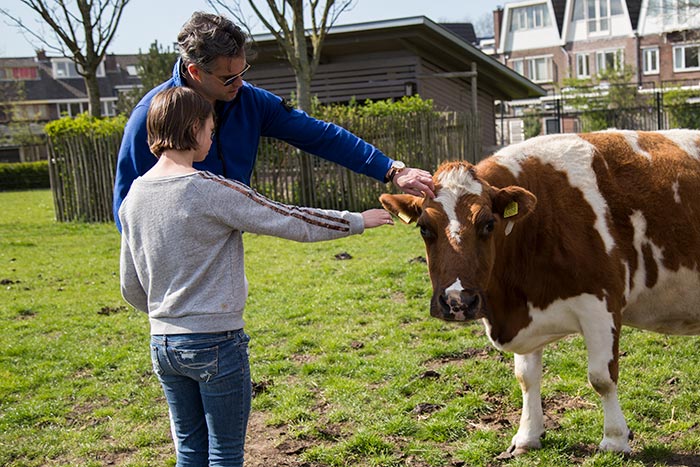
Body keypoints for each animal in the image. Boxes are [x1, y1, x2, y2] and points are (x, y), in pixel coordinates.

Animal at [380, 131, 700, 458]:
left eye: (488, 224)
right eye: (424, 228)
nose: (458, 301)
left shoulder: (601, 303)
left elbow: (601, 377)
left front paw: (614, 440)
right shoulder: (525, 306)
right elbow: (526, 377)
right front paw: (527, 436)